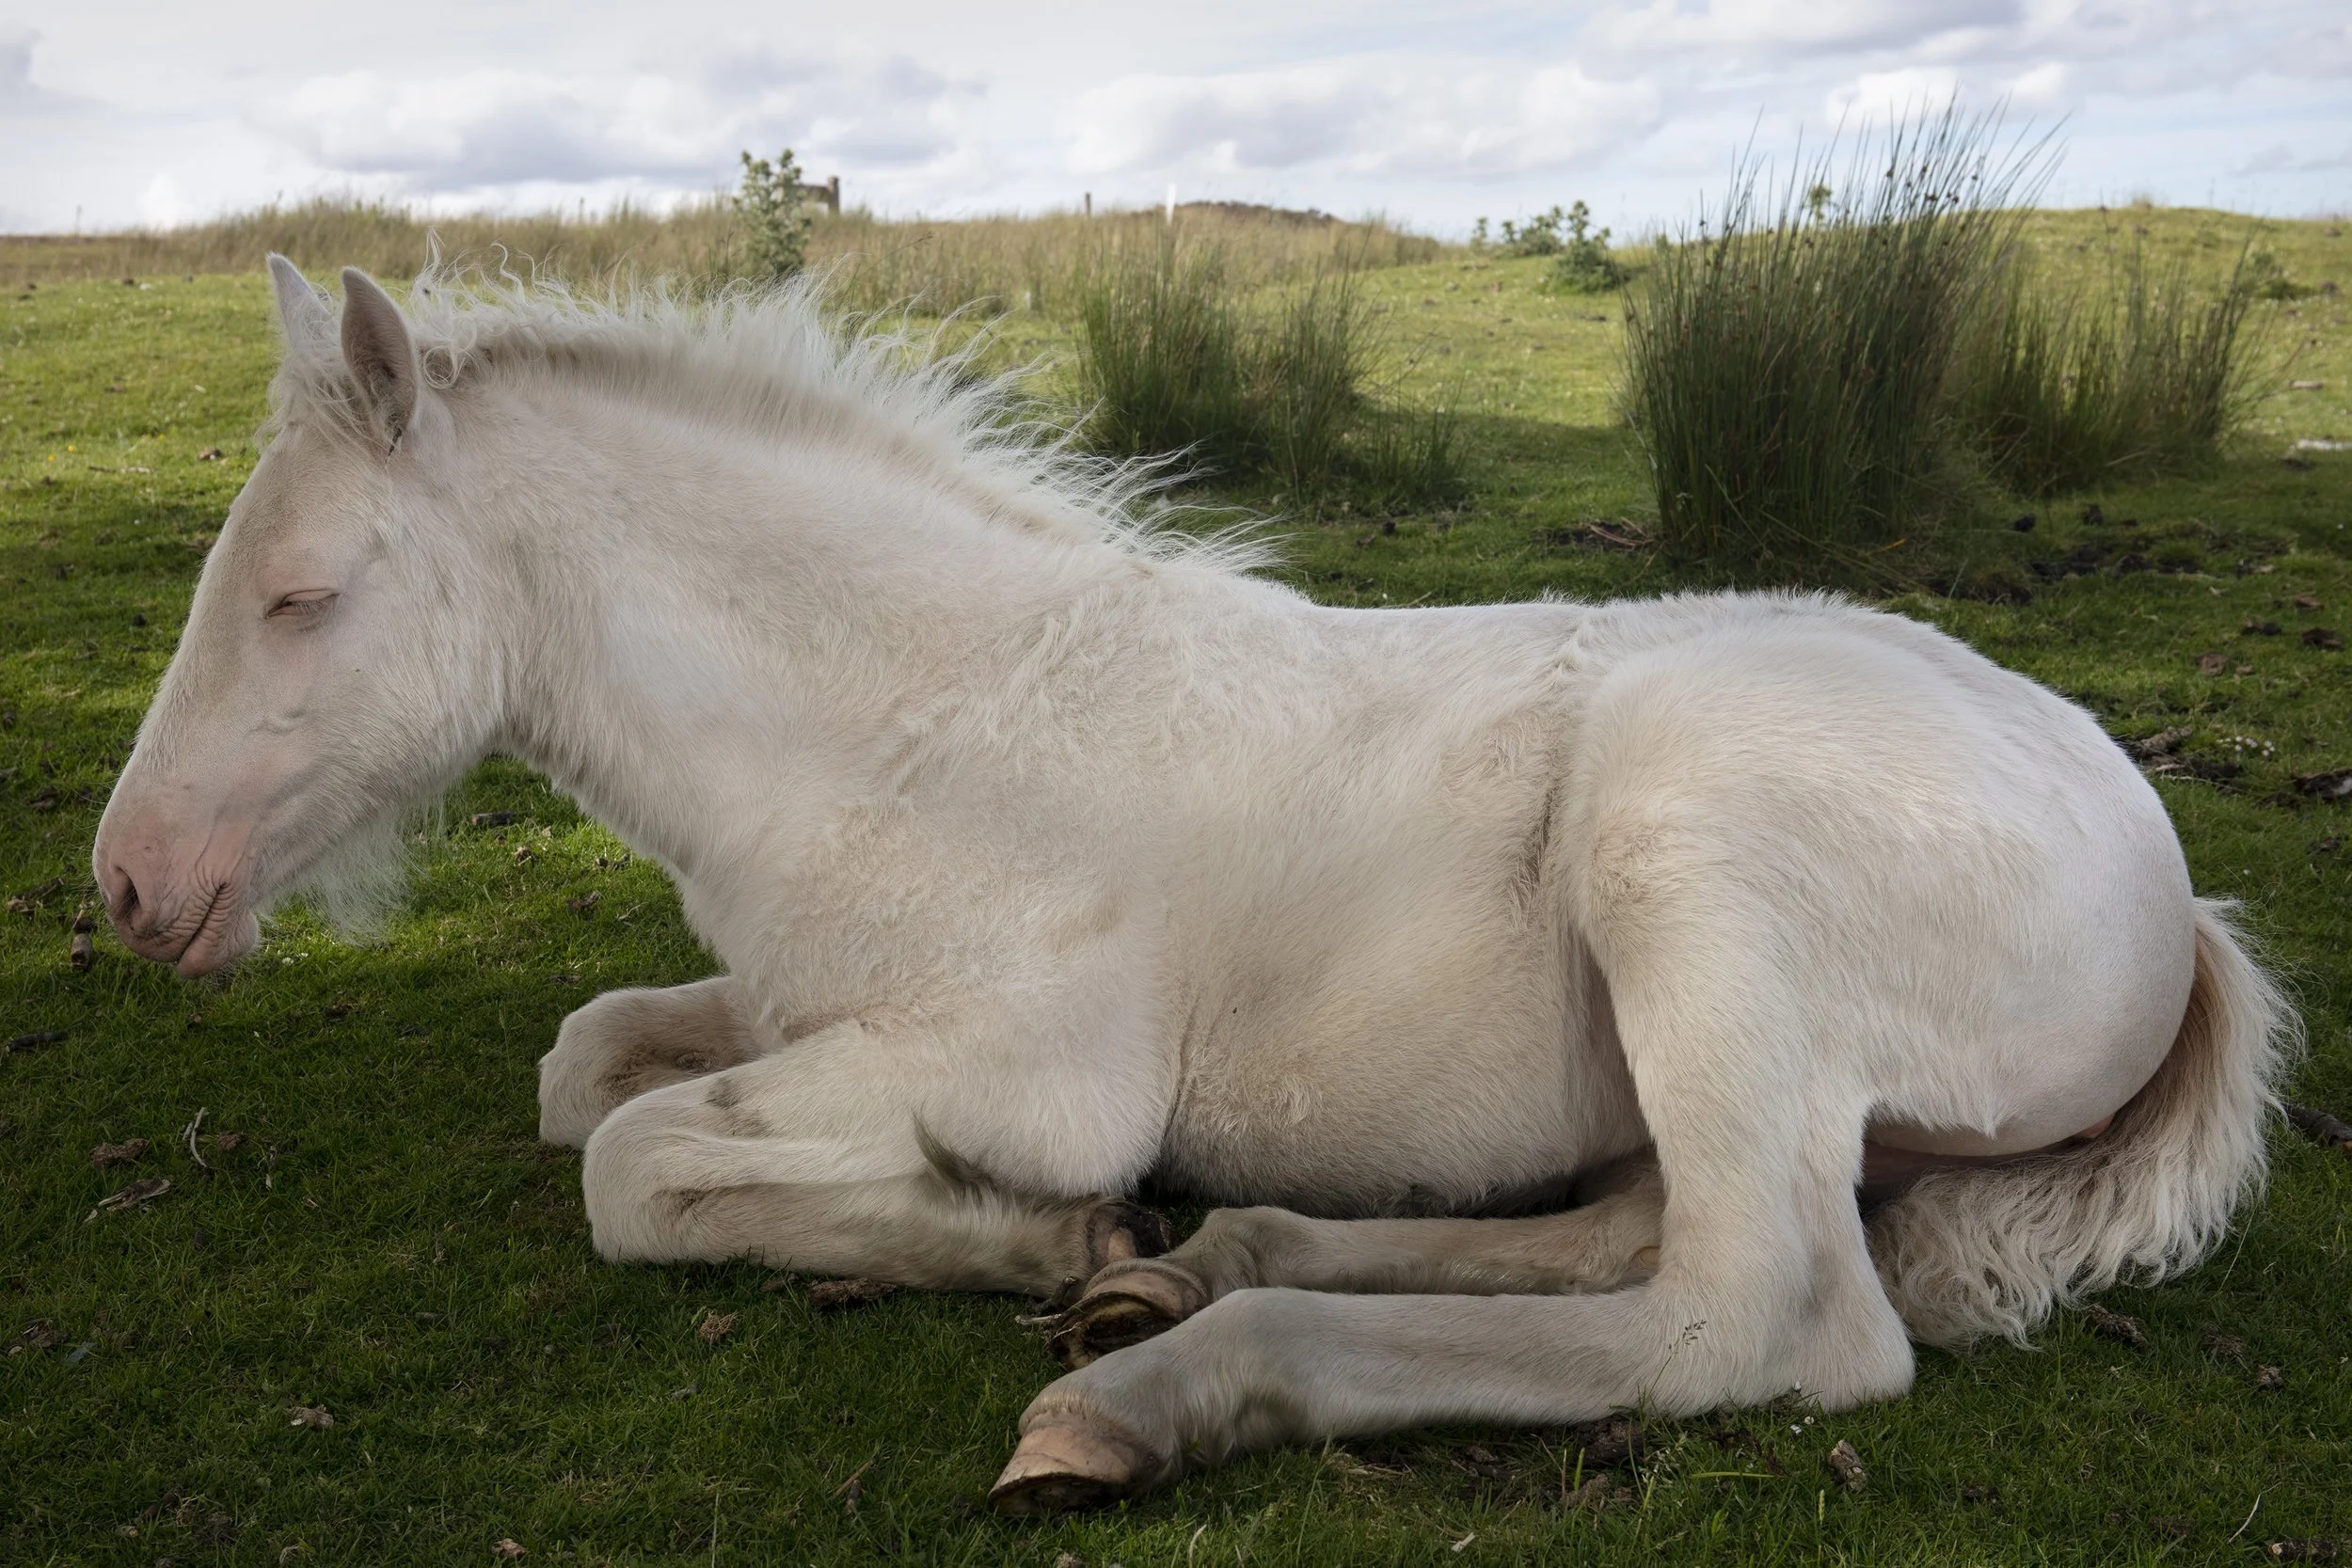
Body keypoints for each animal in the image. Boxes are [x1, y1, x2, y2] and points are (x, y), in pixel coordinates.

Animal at [92, 257, 2294, 1513]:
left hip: (1689, 864)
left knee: (1760, 1312)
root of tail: (2174, 898)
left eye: (301, 597)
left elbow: (630, 1162)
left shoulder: (1024, 1060)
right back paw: (1202, 1258)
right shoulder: (804, 1001)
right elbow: (587, 1063)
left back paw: (1161, 1380)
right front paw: (1051, 1237)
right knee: (1632, 1228)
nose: (129, 887)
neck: (904, 721)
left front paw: (1008, 1231)